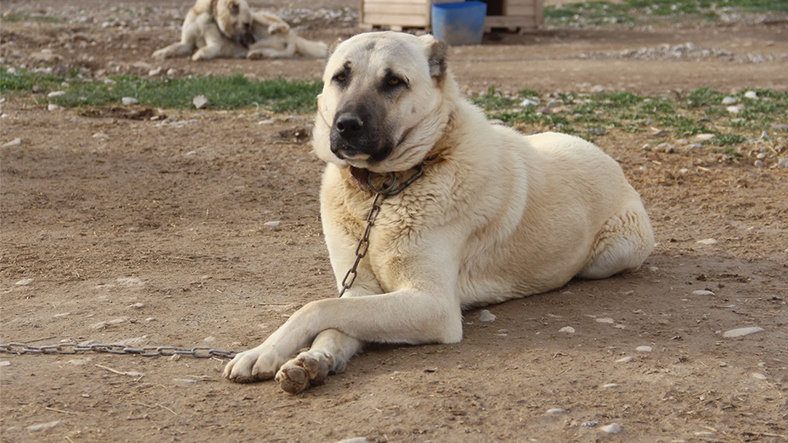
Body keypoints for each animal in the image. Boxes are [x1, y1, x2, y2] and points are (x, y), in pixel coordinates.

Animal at [152, 0, 328, 61]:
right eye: (245, 25)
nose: (251, 41)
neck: (206, 15)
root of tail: (294, 39)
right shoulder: (186, 43)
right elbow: (173, 47)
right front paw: (161, 52)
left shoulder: (215, 44)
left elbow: (206, 49)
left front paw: (199, 54)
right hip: (279, 51)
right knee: (272, 51)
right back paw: (256, 54)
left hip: (260, 15)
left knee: (284, 26)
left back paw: (274, 29)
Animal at [220, 31, 652, 394]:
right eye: (340, 77)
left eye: (394, 81)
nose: (345, 125)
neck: (382, 194)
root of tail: (606, 157)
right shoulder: (360, 291)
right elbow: (334, 321)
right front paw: (310, 359)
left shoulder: (432, 305)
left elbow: (316, 307)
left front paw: (265, 351)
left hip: (612, 255)